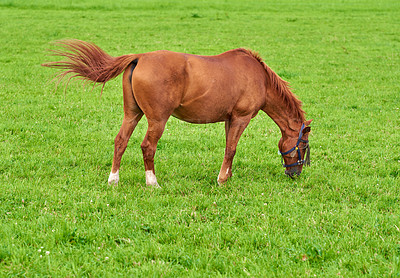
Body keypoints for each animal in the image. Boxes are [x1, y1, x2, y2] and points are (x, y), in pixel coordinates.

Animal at [43, 39, 312, 187]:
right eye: (304, 144)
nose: (296, 173)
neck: (260, 79)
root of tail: (139, 58)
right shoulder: (240, 118)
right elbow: (232, 149)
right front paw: (222, 180)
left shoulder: (229, 120)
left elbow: (228, 148)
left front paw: (226, 175)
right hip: (157, 120)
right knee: (147, 146)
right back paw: (152, 182)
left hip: (132, 114)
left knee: (121, 141)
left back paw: (113, 180)